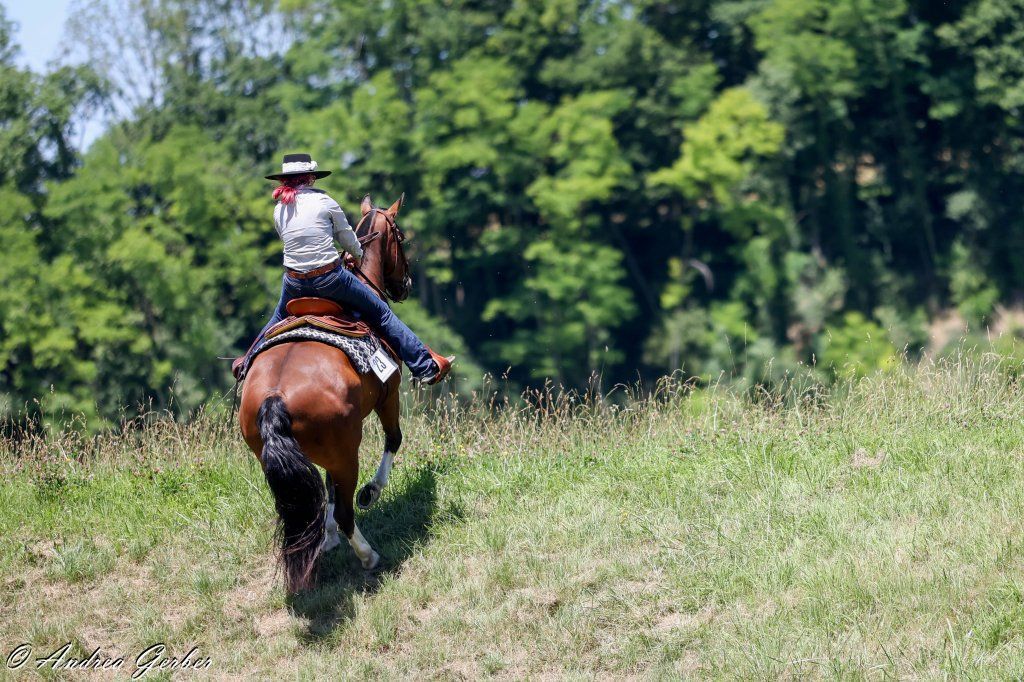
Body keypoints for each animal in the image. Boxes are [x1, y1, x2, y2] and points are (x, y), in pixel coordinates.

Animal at [238, 193, 413, 592]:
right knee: (347, 509)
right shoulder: (389, 394)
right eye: (401, 238)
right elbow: (393, 440)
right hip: (347, 451)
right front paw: (372, 491)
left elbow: (327, 489)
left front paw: (328, 535)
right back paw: (368, 556)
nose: (406, 283)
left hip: (284, 457)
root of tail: (275, 398)